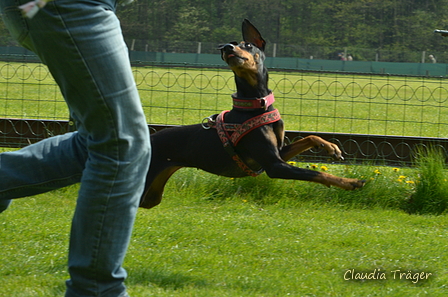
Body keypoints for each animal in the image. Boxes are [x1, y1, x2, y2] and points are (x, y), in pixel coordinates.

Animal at [140, 19, 364, 208]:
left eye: (247, 45)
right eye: (227, 47)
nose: (227, 48)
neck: (256, 103)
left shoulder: (277, 154)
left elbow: (309, 137)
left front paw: (330, 147)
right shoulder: (274, 166)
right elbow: (315, 173)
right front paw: (350, 182)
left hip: (152, 195)